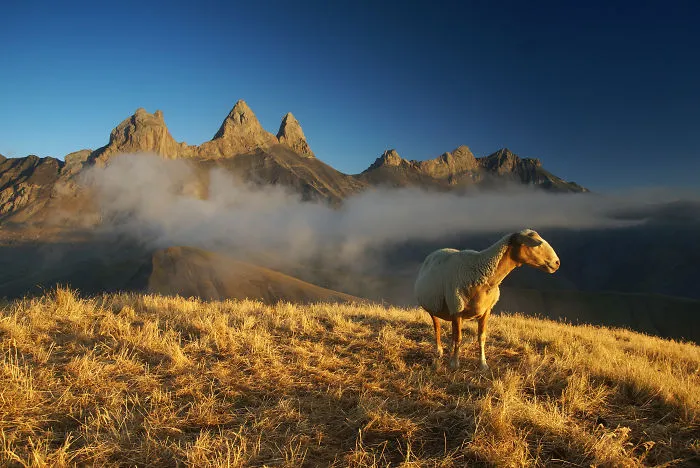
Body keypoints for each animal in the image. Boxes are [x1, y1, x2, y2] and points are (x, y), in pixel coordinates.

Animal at [414, 229, 560, 370]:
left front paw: (483, 364)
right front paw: (454, 364)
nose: (557, 262)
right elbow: (459, 338)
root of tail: (435, 253)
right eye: (536, 244)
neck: (481, 271)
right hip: (434, 307)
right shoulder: (456, 309)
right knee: (437, 327)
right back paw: (439, 350)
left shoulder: (486, 311)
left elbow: (481, 337)